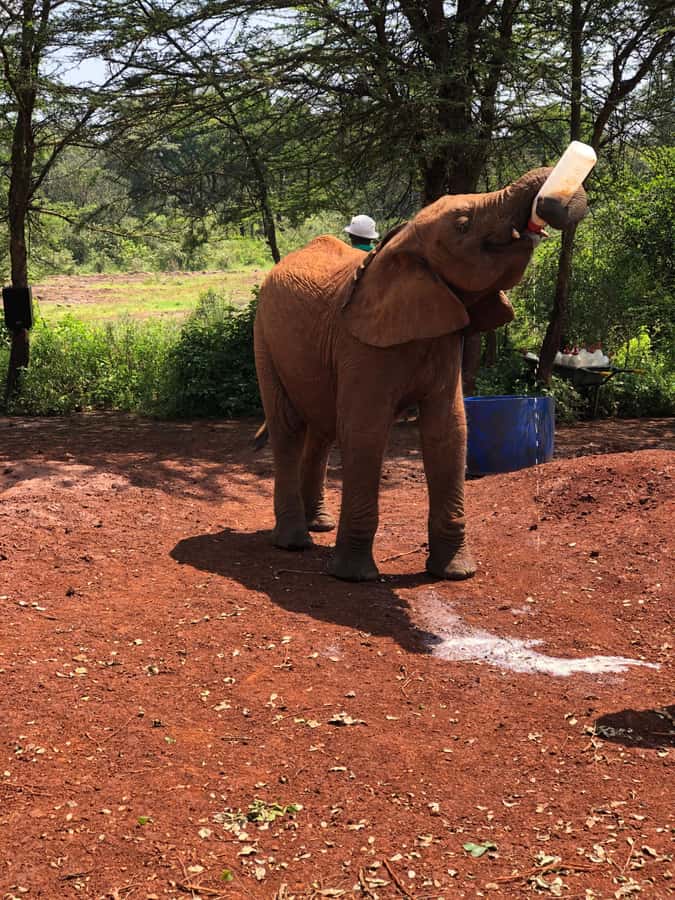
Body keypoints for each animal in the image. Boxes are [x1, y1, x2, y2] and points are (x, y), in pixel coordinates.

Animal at [254, 167, 588, 582]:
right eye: (463, 224)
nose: (549, 205)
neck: (405, 241)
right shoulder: (360, 345)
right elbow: (364, 431)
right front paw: (354, 577)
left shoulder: (442, 337)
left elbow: (449, 430)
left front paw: (456, 573)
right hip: (264, 337)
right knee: (287, 427)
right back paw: (294, 542)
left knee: (322, 431)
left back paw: (321, 526)